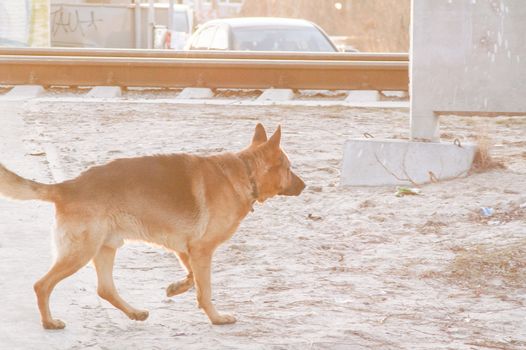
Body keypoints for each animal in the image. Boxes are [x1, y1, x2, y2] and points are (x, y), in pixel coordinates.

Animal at [0, 124, 306, 330]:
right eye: (290, 168)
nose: (305, 186)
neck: (246, 171)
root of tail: (67, 186)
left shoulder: (187, 250)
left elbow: (193, 278)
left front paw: (176, 288)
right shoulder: (202, 250)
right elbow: (205, 288)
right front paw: (216, 317)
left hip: (105, 248)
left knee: (105, 289)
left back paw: (134, 313)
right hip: (80, 252)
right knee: (42, 285)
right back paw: (49, 322)